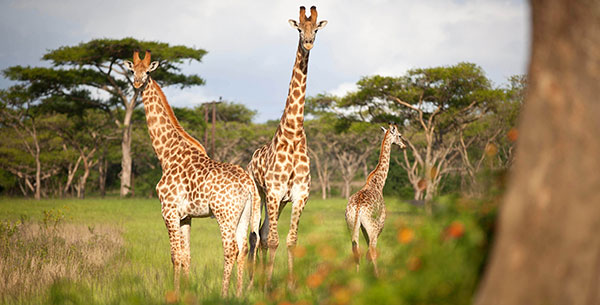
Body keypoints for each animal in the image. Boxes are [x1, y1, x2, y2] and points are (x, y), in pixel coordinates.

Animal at [123, 50, 260, 296]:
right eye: (132, 71)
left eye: (147, 72)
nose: (137, 84)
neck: (166, 154)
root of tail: (248, 184)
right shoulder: (186, 216)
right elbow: (187, 255)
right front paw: (186, 291)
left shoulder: (168, 211)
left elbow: (175, 256)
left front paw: (174, 293)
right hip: (245, 214)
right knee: (244, 248)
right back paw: (238, 293)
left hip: (225, 214)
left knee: (230, 249)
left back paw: (224, 294)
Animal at [245, 5, 326, 286]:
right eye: (299, 29)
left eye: (316, 29)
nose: (309, 42)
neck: (292, 136)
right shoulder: (273, 192)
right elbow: (273, 241)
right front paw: (268, 285)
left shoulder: (299, 196)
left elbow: (290, 241)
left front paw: (290, 285)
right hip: (259, 195)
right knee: (255, 236)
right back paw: (252, 281)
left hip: (279, 202)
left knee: (261, 233)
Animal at [346, 123, 408, 276]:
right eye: (399, 135)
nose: (404, 146)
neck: (378, 183)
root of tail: (357, 208)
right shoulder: (381, 223)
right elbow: (371, 251)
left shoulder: (363, 227)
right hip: (373, 227)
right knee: (373, 250)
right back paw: (378, 276)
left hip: (352, 225)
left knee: (355, 249)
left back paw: (357, 276)